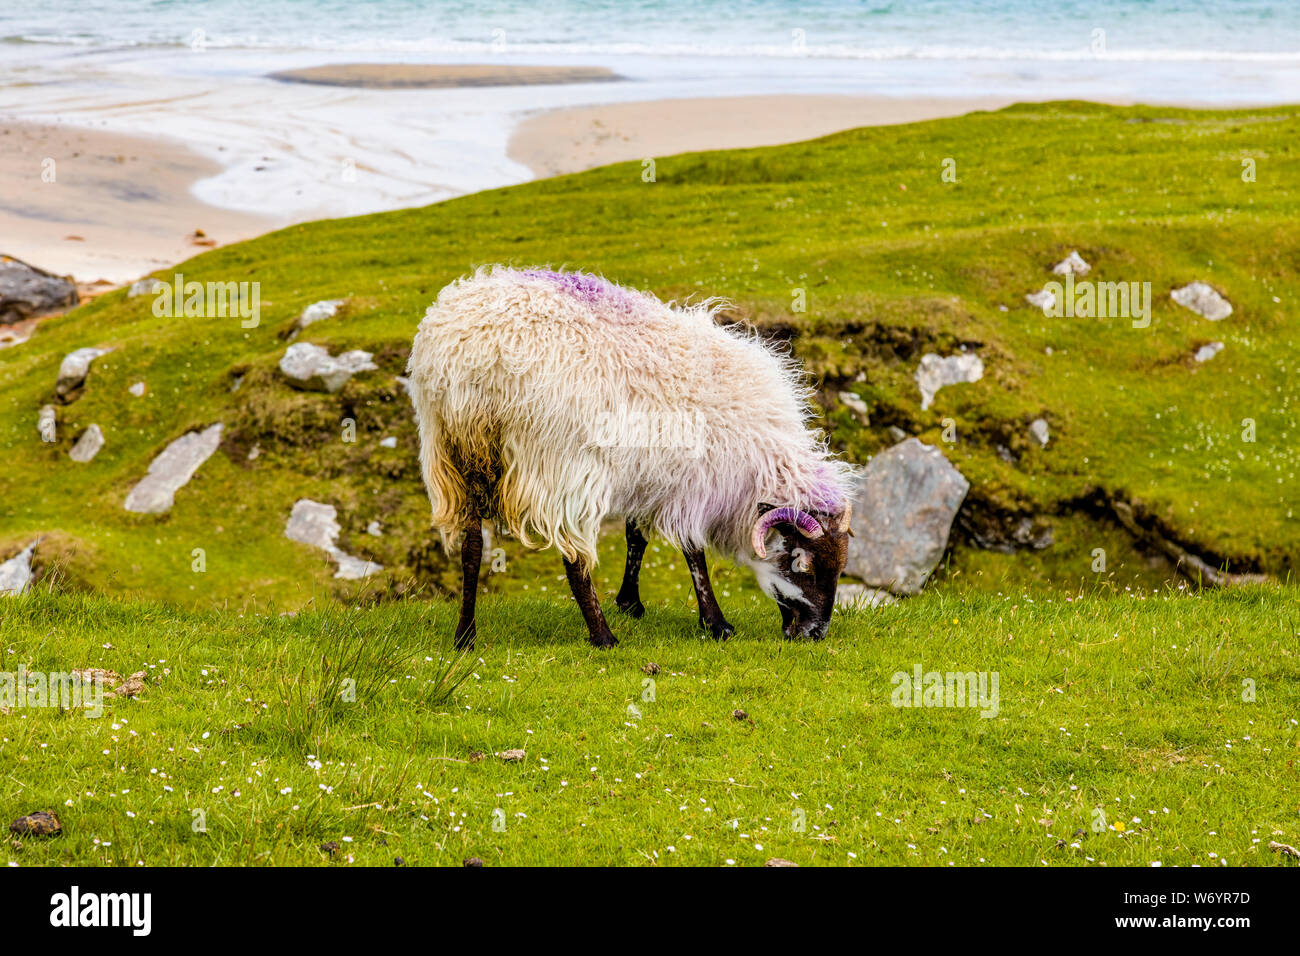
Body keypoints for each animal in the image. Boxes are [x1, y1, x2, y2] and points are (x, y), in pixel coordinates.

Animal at [405, 265, 852, 647]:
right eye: (799, 562)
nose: (815, 635)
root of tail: (473, 361)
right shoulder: (692, 478)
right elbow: (693, 551)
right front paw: (715, 622)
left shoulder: (651, 472)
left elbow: (636, 535)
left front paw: (630, 601)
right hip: (562, 461)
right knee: (574, 558)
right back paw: (602, 637)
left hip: (453, 456)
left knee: (471, 547)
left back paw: (465, 636)